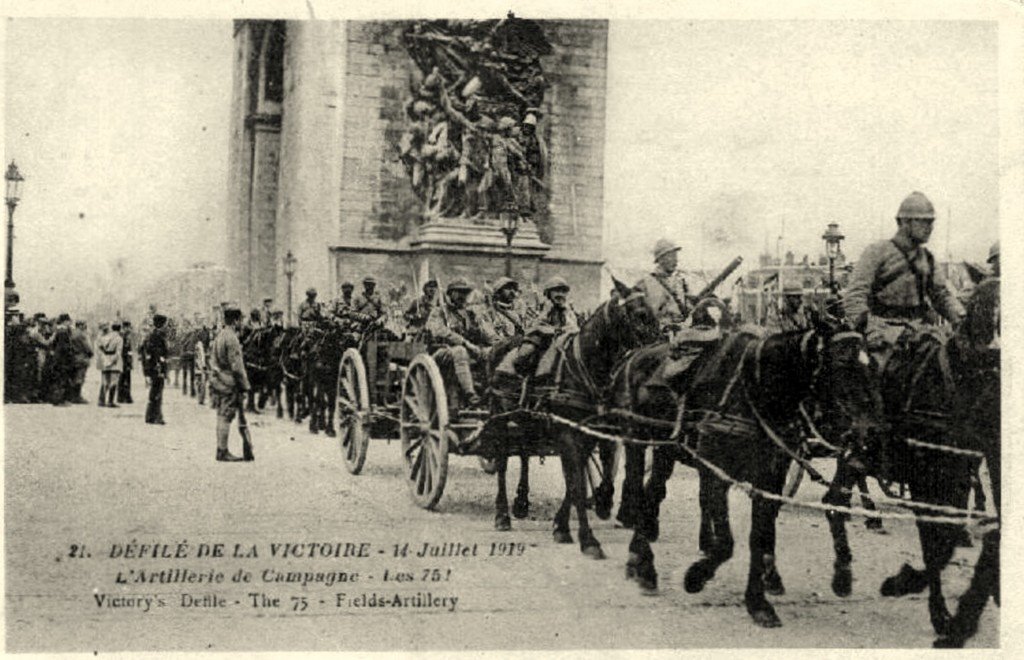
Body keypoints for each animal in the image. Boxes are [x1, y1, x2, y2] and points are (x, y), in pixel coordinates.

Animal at [483, 280, 659, 556]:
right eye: (640, 314)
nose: (660, 351)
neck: (584, 366)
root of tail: (499, 347)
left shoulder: (591, 434)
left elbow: (584, 480)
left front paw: (569, 522)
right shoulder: (567, 435)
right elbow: (575, 483)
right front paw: (588, 540)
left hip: (527, 422)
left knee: (524, 453)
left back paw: (521, 502)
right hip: (499, 418)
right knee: (501, 462)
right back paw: (502, 515)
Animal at [618, 321, 884, 626]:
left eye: (872, 365)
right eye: (841, 364)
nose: (872, 433)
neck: (753, 394)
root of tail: (635, 354)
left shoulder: (770, 479)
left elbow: (760, 537)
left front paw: (758, 601)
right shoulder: (715, 474)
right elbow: (725, 543)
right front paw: (696, 576)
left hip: (666, 450)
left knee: (653, 492)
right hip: (636, 440)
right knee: (639, 491)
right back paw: (641, 564)